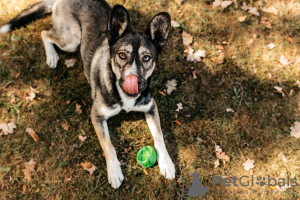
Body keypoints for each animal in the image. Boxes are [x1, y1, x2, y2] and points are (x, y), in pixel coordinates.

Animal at [0, 0, 175, 188]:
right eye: (122, 55)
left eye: (147, 58)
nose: (134, 82)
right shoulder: (97, 115)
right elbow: (108, 145)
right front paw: (114, 172)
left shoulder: (151, 107)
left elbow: (159, 137)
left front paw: (167, 163)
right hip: (71, 39)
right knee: (45, 33)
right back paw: (52, 56)